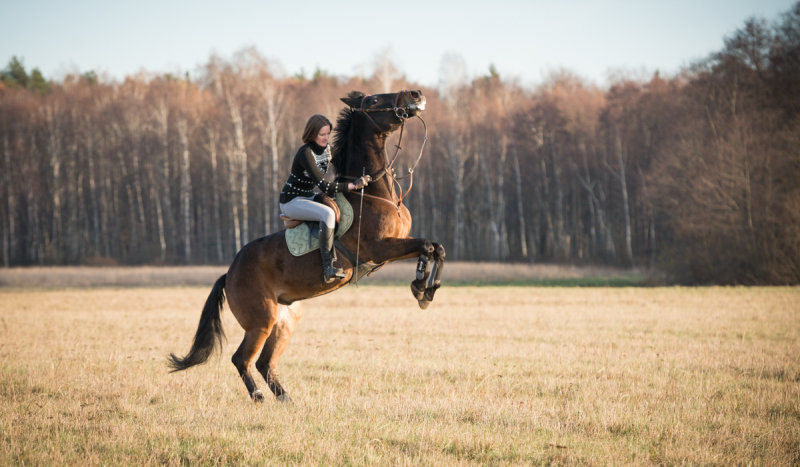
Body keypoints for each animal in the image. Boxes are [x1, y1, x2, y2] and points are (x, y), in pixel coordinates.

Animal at [169, 90, 444, 402]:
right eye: (374, 100)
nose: (415, 94)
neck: (374, 193)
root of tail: (229, 274)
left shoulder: (395, 246)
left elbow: (436, 247)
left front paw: (426, 288)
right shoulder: (380, 248)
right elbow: (427, 245)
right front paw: (421, 287)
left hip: (286, 320)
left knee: (265, 362)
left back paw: (286, 399)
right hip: (261, 320)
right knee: (242, 359)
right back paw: (258, 396)